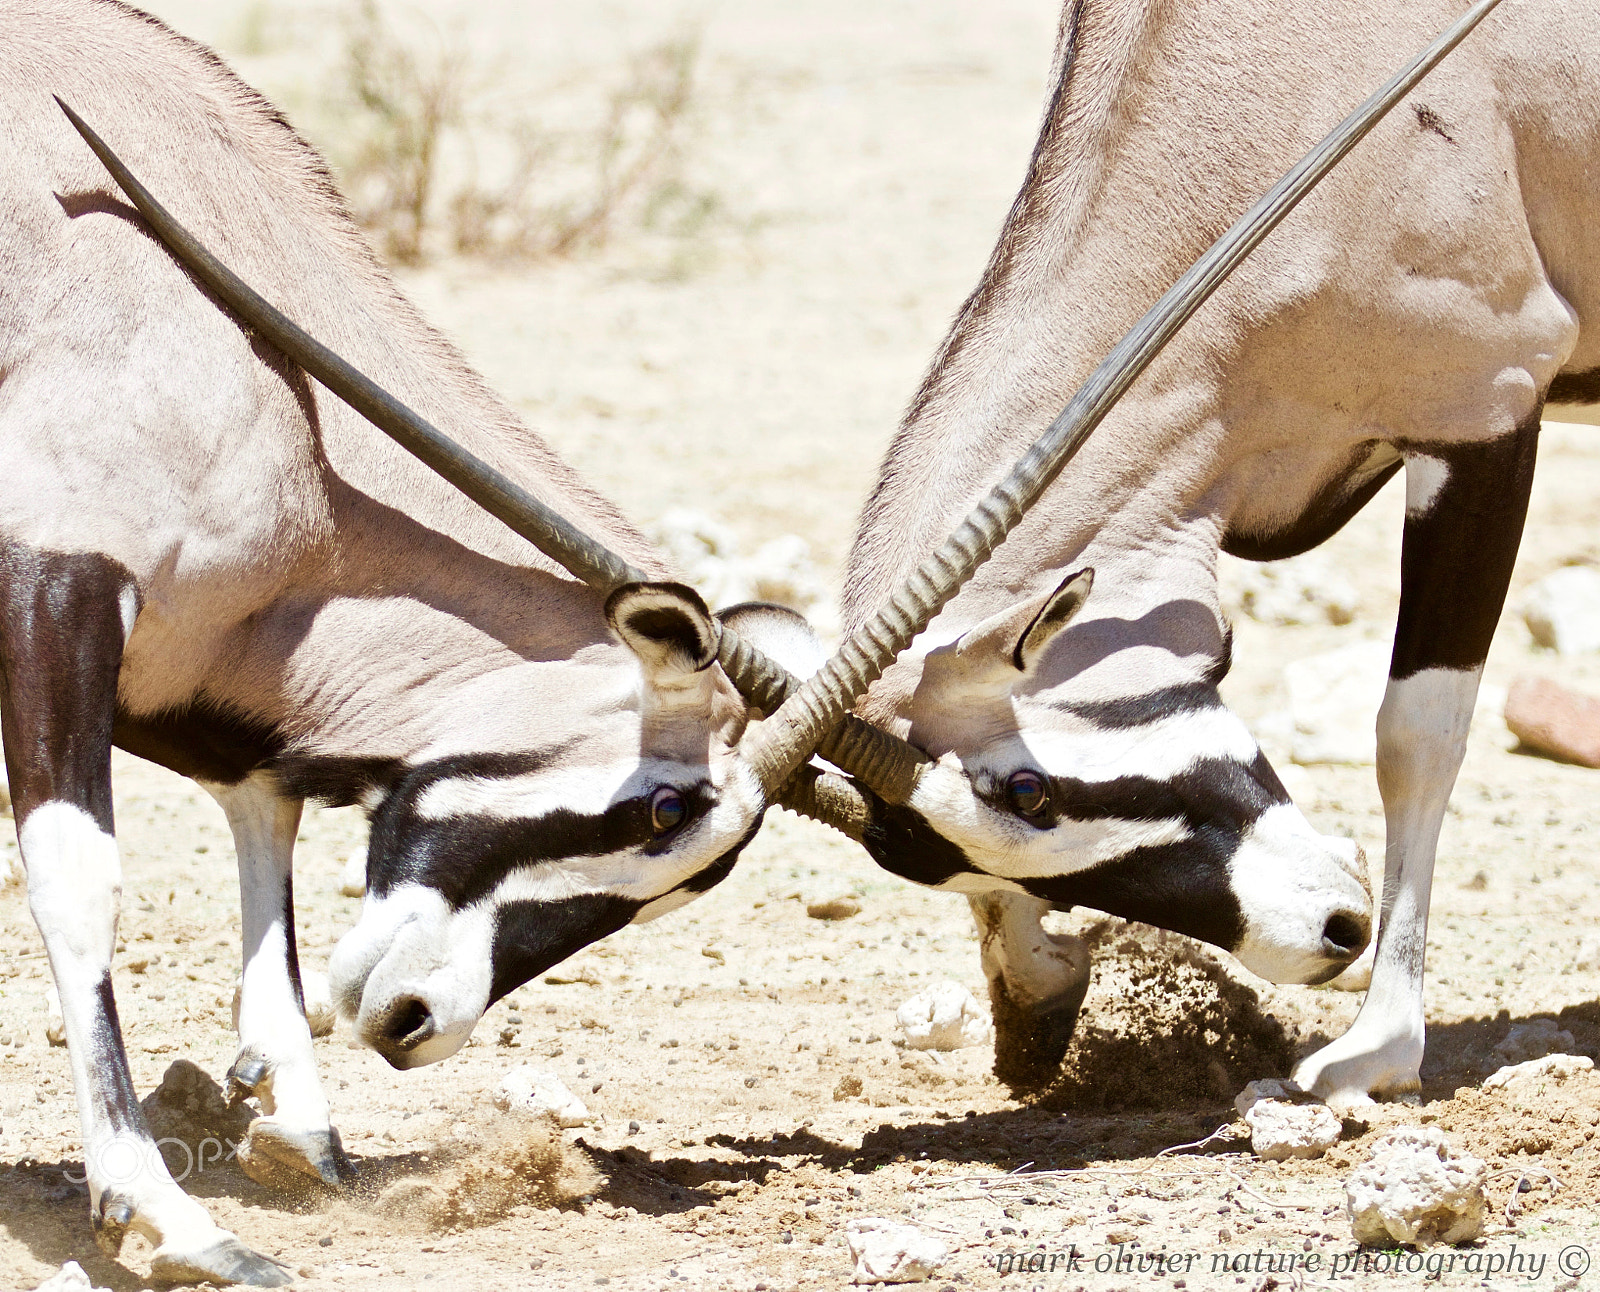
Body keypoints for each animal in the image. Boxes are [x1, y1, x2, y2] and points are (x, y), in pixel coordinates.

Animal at [838, 0, 1574, 1100]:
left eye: (1028, 790)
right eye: (938, 855)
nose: (1332, 929)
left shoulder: (1481, 411)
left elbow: (1416, 733)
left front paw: (1379, 1045)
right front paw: (1035, 997)